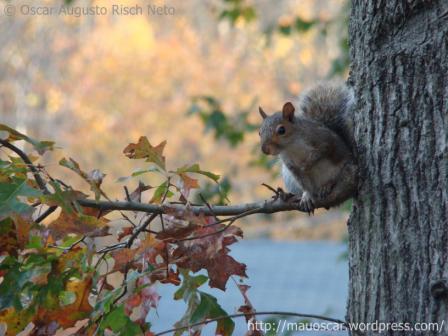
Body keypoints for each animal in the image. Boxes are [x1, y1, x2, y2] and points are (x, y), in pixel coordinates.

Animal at [258, 81, 358, 213]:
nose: (265, 149)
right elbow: (304, 184)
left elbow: (320, 152)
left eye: (281, 130)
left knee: (336, 178)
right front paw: (306, 196)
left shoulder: (321, 140)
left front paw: (307, 165)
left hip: (344, 169)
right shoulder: (291, 166)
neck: (291, 146)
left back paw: (326, 186)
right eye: (259, 132)